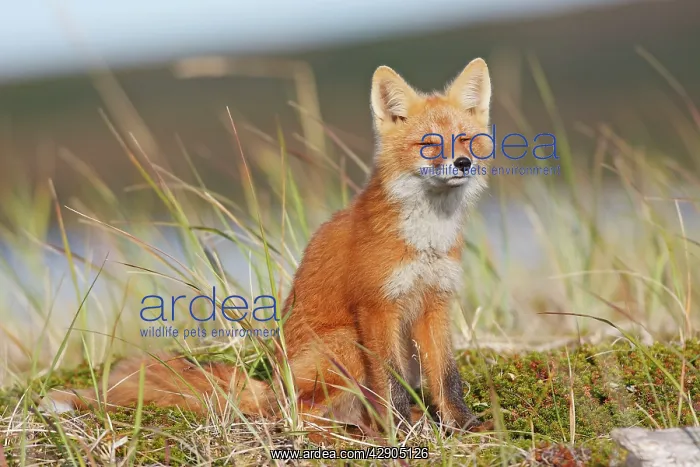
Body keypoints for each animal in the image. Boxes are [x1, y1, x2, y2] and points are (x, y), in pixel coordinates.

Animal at [42, 58, 494, 432]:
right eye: (429, 144)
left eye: (466, 140)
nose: (463, 164)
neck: (426, 240)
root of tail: (271, 386)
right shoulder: (377, 307)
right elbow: (390, 383)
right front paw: (400, 431)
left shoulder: (435, 301)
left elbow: (447, 378)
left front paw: (463, 425)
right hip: (343, 344)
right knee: (297, 413)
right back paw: (346, 430)